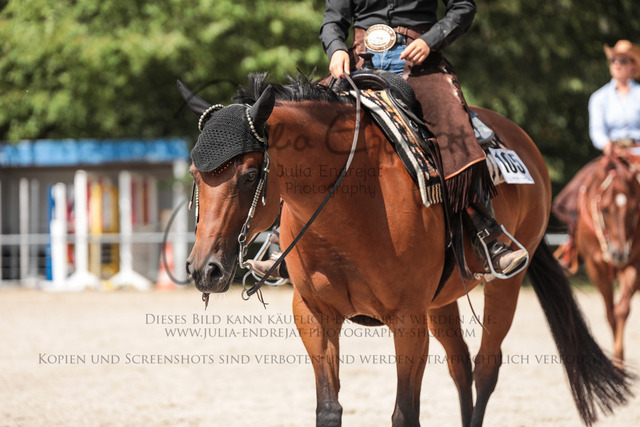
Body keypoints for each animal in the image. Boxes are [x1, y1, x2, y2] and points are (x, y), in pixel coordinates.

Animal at [179, 73, 632, 426]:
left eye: (249, 174)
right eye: (195, 174)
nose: (205, 270)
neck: (350, 205)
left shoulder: (407, 320)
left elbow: (404, 413)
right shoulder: (314, 315)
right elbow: (329, 409)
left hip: (506, 283)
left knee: (486, 367)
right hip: (442, 301)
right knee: (460, 365)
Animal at [574, 154, 640, 366]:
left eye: (635, 209)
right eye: (604, 209)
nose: (619, 254)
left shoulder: (634, 265)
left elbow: (621, 311)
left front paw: (619, 361)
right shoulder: (596, 269)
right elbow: (611, 315)